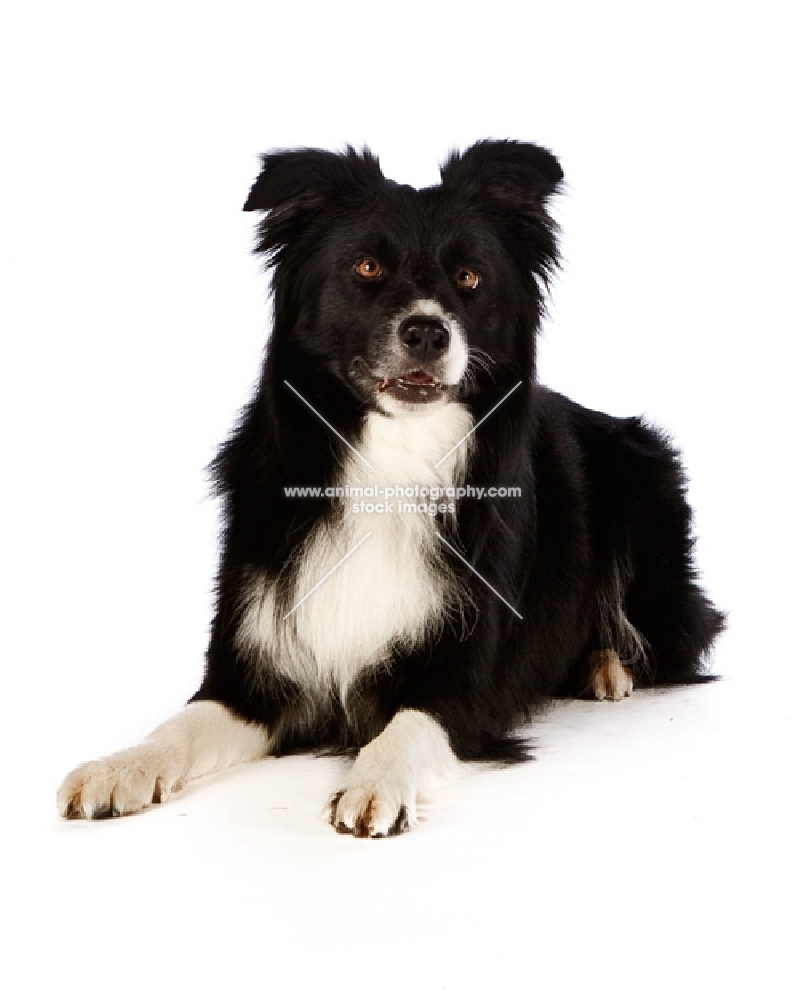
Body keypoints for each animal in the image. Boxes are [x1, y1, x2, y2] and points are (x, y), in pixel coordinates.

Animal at [56, 143, 720, 836]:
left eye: (469, 278)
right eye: (367, 267)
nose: (427, 331)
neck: (392, 463)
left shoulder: (462, 683)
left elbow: (406, 727)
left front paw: (372, 782)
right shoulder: (253, 671)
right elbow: (181, 727)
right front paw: (119, 767)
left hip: (642, 480)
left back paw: (607, 666)